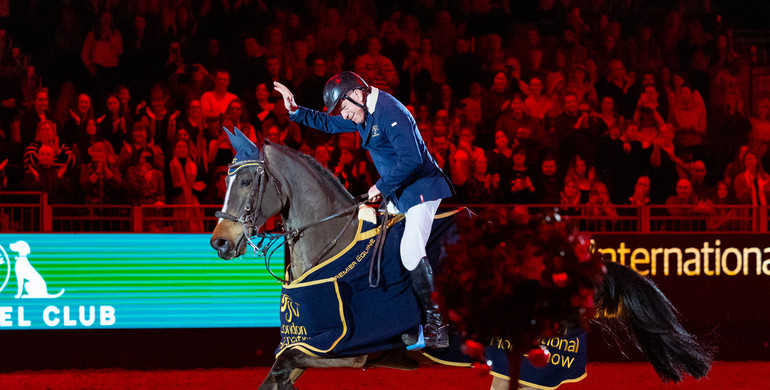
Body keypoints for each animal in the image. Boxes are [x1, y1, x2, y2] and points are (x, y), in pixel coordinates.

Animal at [210, 133, 712, 388]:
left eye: (248, 182)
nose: (219, 242)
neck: (331, 241)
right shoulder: (309, 347)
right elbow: (278, 373)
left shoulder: (343, 349)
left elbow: (282, 364)